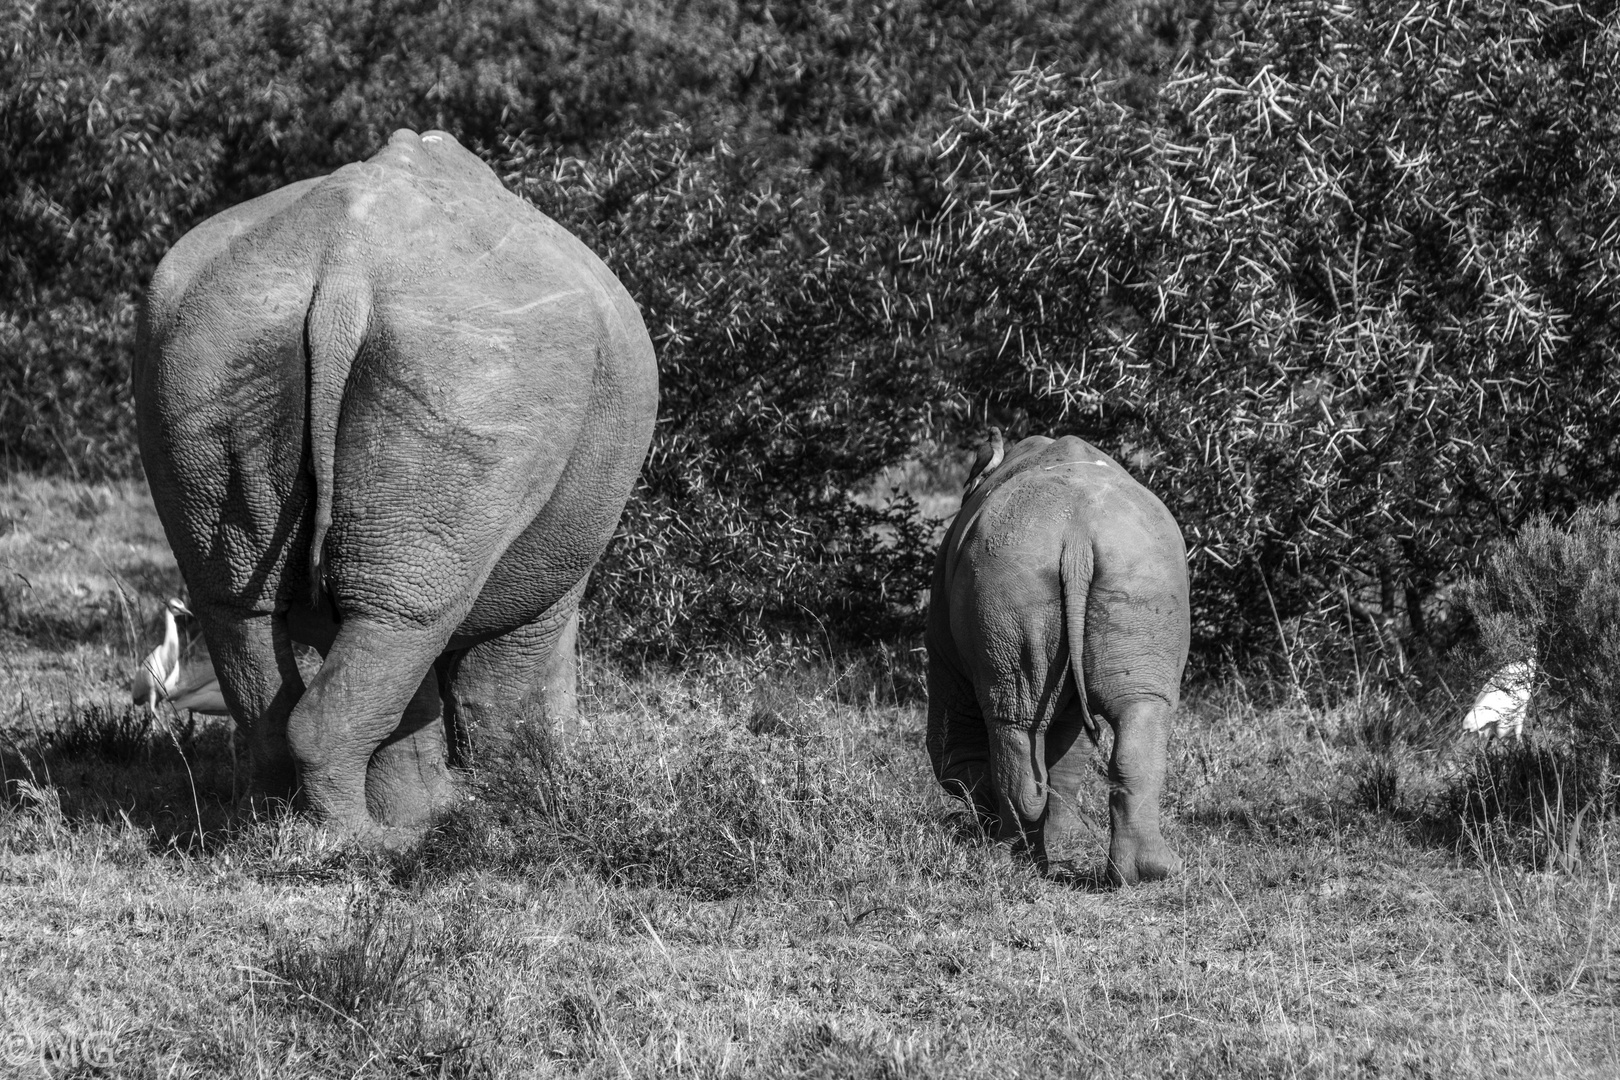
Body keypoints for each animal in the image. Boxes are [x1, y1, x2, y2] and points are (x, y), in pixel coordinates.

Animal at [926, 433, 1192, 880]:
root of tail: (1078, 536)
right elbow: (1067, 755)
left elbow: (955, 747)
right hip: (1140, 568)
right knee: (1142, 707)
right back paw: (1150, 872)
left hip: (1016, 572)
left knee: (1014, 719)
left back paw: (1007, 861)